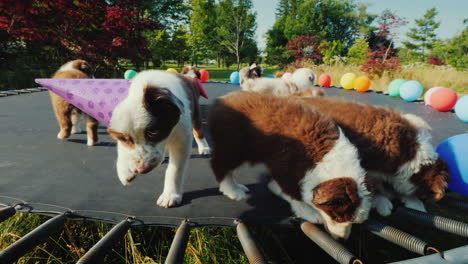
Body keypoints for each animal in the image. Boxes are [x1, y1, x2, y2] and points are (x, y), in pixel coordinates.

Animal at [107, 70, 211, 208]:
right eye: (127, 140)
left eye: (153, 132)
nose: (142, 170)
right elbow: (123, 149)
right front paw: (125, 171)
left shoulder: (182, 137)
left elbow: (175, 169)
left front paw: (170, 195)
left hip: (196, 113)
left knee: (198, 131)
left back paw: (204, 148)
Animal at [208, 91, 372, 239]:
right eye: (337, 218)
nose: (342, 239)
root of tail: (220, 100)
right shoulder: (285, 165)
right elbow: (292, 192)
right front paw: (308, 211)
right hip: (234, 144)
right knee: (220, 165)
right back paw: (233, 190)